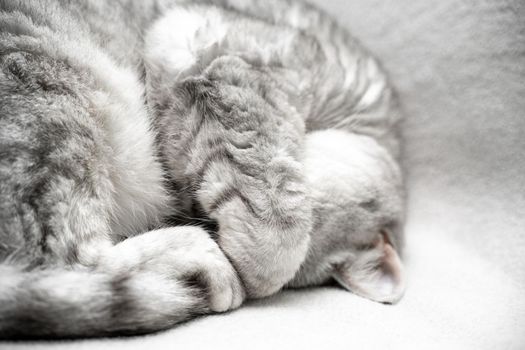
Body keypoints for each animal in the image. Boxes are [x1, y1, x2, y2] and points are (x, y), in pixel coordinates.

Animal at [0, 0, 404, 340]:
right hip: (57, 104)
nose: (193, 209)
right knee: (67, 263)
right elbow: (276, 242)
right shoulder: (216, 57)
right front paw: (251, 272)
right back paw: (199, 261)